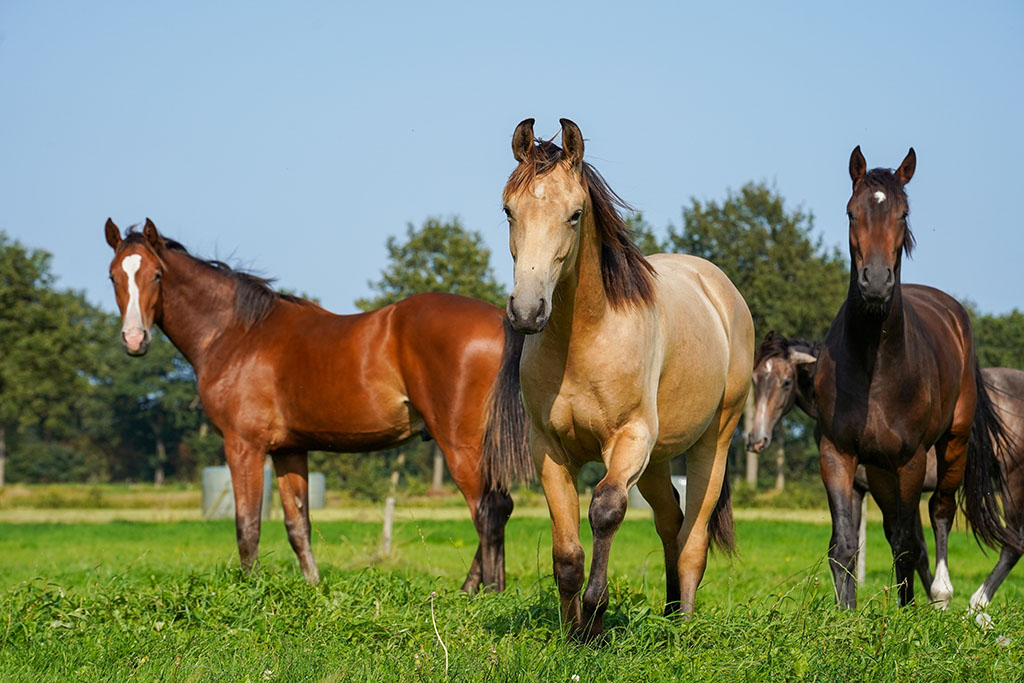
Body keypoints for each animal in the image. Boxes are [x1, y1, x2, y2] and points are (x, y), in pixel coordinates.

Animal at [104, 220, 532, 593]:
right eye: (113, 277)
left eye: (157, 275)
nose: (134, 339)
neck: (237, 334)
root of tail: (501, 319)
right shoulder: (289, 450)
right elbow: (298, 524)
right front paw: (312, 587)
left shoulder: (243, 445)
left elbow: (248, 525)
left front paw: (249, 590)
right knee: (501, 507)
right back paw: (469, 590)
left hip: (461, 444)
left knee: (488, 510)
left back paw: (489, 594)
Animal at [501, 120, 753, 638]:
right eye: (508, 210)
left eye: (575, 214)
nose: (527, 311)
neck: (585, 339)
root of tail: (720, 290)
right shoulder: (549, 449)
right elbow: (567, 552)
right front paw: (572, 633)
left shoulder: (628, 439)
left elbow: (605, 510)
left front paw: (595, 621)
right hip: (657, 460)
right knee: (670, 521)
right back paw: (670, 612)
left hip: (711, 445)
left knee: (693, 539)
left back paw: (683, 628)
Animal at [811, 148, 1019, 610]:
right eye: (851, 212)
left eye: (903, 214)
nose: (875, 282)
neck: (876, 367)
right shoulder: (837, 453)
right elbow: (845, 545)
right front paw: (845, 615)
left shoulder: (910, 460)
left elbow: (909, 542)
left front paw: (906, 615)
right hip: (880, 469)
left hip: (952, 445)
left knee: (939, 512)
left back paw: (944, 596)